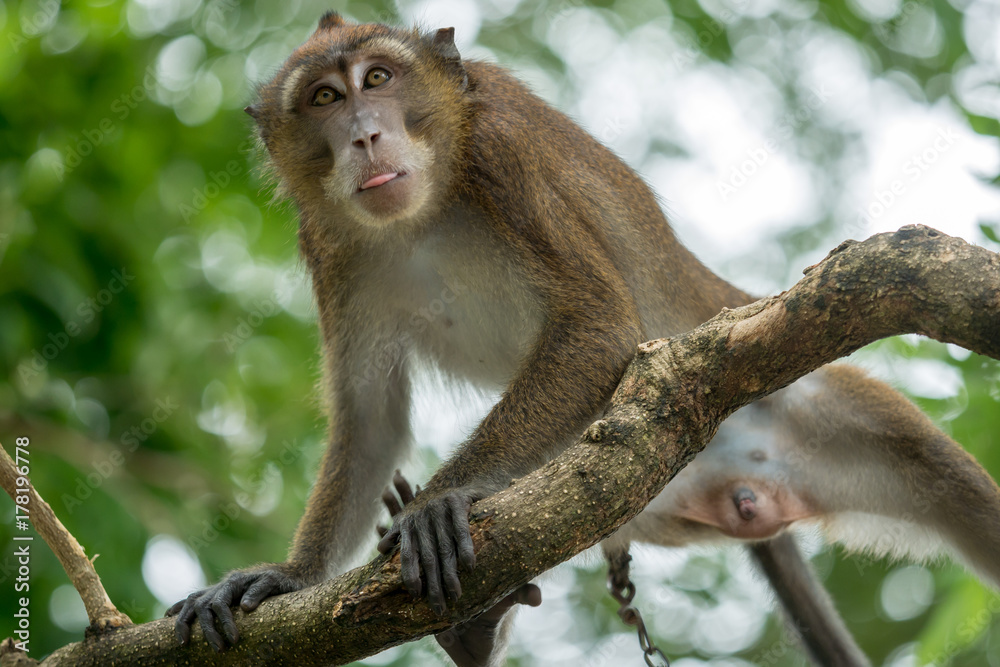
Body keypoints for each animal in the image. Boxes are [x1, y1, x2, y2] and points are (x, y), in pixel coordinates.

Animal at [166, 11, 1000, 667]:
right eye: (325, 98)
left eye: (378, 77)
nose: (365, 135)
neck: (424, 207)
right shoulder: (330, 247)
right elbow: (370, 417)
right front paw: (288, 576)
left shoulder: (504, 157)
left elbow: (600, 329)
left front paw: (443, 497)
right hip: (650, 508)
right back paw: (472, 631)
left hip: (813, 408)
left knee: (950, 485)